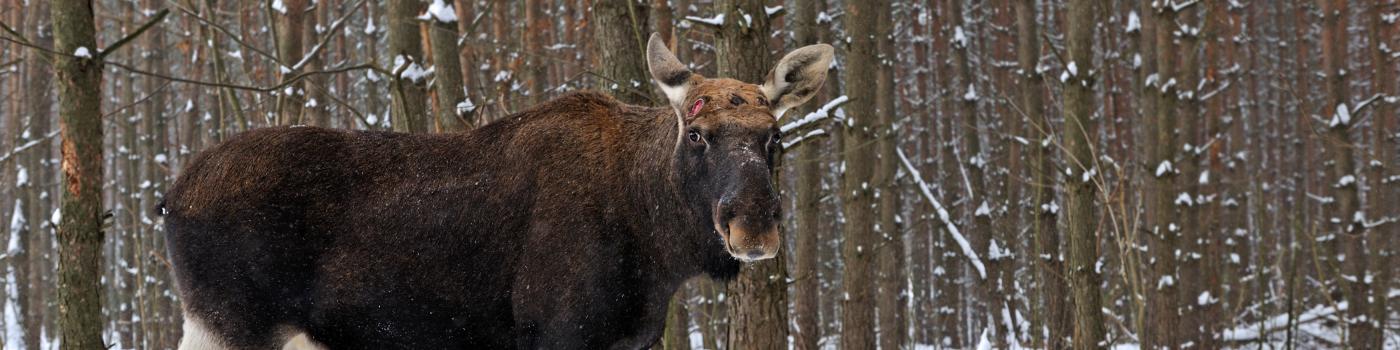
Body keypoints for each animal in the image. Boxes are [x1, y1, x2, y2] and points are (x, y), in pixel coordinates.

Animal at [163, 33, 828, 350]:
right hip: (228, 326)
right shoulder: (557, 334)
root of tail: (168, 197)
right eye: (696, 133)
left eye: (773, 135)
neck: (655, 248)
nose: (753, 223)